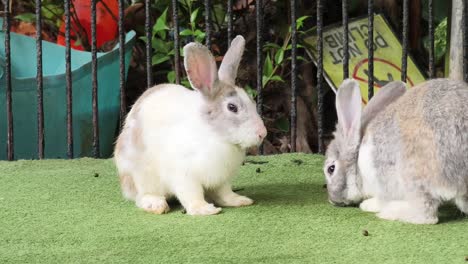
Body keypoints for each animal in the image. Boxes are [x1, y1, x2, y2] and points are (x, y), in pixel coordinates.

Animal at [114, 35, 266, 214]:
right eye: (232, 107)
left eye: (252, 102)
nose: (263, 133)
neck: (216, 136)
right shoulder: (184, 175)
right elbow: (192, 194)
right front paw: (204, 210)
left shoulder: (221, 179)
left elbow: (224, 192)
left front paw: (239, 200)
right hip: (142, 177)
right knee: (141, 196)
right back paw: (156, 205)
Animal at [324, 78, 468, 225]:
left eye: (331, 169)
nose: (333, 200)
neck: (358, 164)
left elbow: (382, 198)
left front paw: (369, 205)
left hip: (414, 175)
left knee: (426, 214)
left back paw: (388, 212)